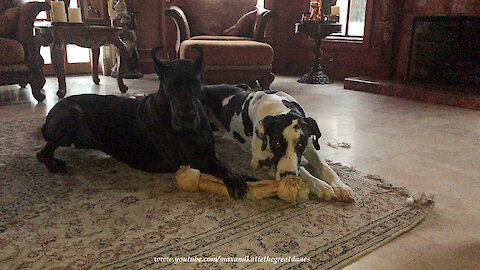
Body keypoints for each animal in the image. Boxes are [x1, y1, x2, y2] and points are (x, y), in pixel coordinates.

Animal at [201, 85, 354, 201]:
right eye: (277, 144)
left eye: (300, 145)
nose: (287, 176)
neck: (278, 107)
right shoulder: (260, 159)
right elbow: (301, 169)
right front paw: (320, 185)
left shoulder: (310, 146)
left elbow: (325, 167)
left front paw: (341, 187)